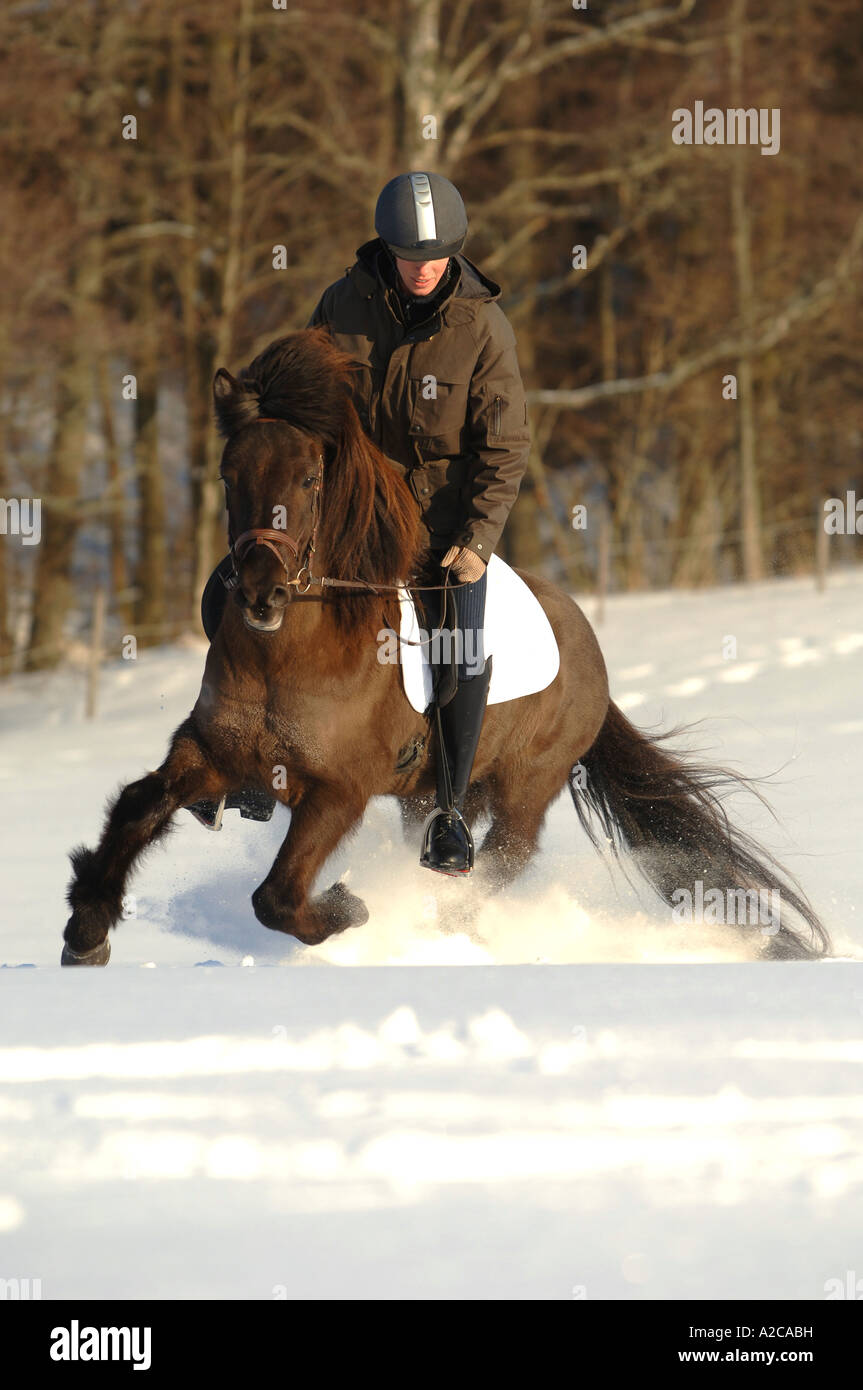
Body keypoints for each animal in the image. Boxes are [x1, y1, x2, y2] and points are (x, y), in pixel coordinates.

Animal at [62, 329, 830, 965]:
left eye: (310, 478)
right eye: (229, 475)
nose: (261, 595)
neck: (288, 657)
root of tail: (586, 645)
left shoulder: (338, 791)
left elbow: (277, 896)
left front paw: (347, 909)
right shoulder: (211, 755)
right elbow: (137, 805)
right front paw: (86, 929)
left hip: (524, 788)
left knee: (497, 864)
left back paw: (437, 928)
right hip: (421, 795)